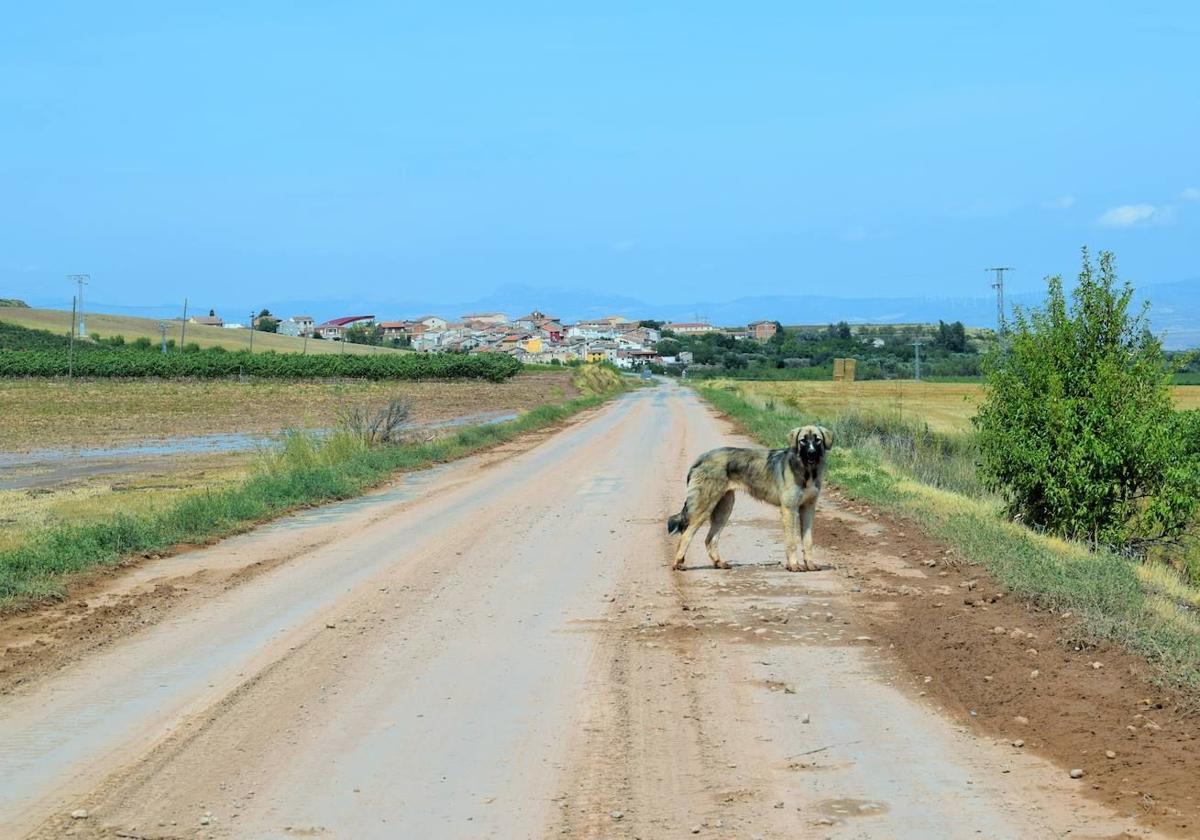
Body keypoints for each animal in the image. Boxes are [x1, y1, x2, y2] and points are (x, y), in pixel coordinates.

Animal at [667, 427, 835, 571]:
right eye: (803, 441)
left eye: (817, 440)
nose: (811, 453)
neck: (807, 471)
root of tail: (701, 458)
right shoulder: (789, 509)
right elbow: (792, 541)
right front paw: (794, 565)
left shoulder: (808, 509)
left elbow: (808, 541)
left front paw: (810, 564)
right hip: (705, 506)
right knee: (686, 534)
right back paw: (678, 563)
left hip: (724, 509)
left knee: (710, 539)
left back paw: (719, 563)